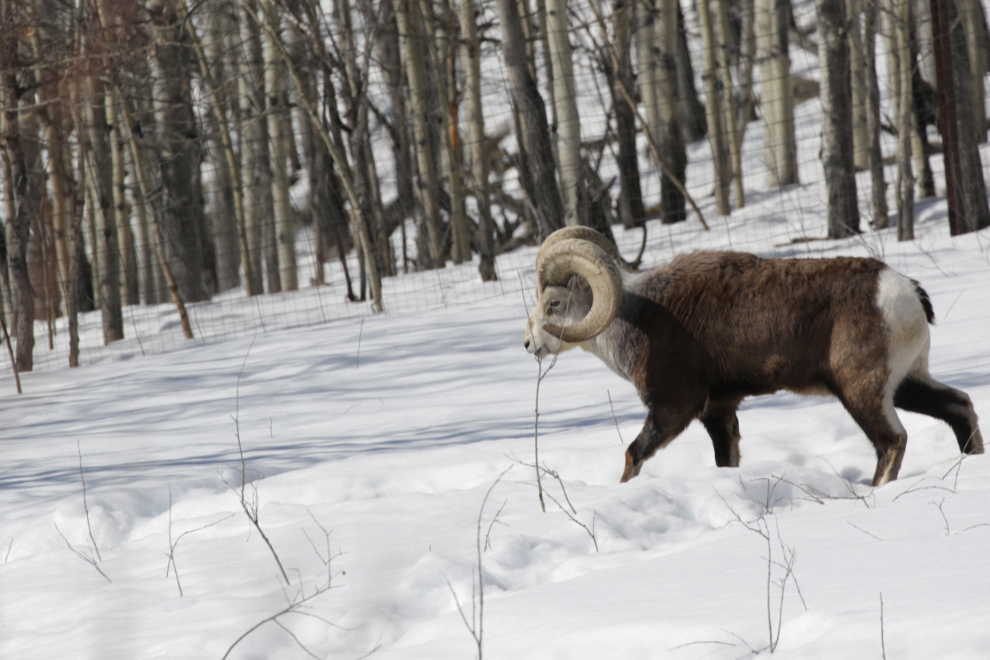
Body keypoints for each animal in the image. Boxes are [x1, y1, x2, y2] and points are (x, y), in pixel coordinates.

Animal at [523, 226, 983, 487]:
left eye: (554, 304)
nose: (529, 345)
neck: (640, 319)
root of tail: (904, 292)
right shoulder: (718, 413)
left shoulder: (674, 409)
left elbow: (633, 455)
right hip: (906, 384)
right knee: (959, 406)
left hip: (861, 393)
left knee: (892, 441)